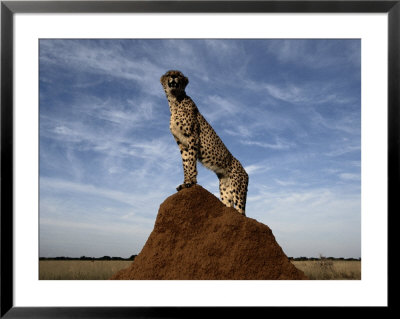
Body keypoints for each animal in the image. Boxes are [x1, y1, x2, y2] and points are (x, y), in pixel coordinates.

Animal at [159, 70, 247, 215]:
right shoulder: (181, 143)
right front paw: (185, 182)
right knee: (228, 205)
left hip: (238, 191)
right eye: (168, 74)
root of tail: (245, 171)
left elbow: (191, 162)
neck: (175, 101)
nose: (173, 77)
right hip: (225, 190)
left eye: (179, 75)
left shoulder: (192, 137)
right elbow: (185, 162)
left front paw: (190, 182)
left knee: (242, 212)